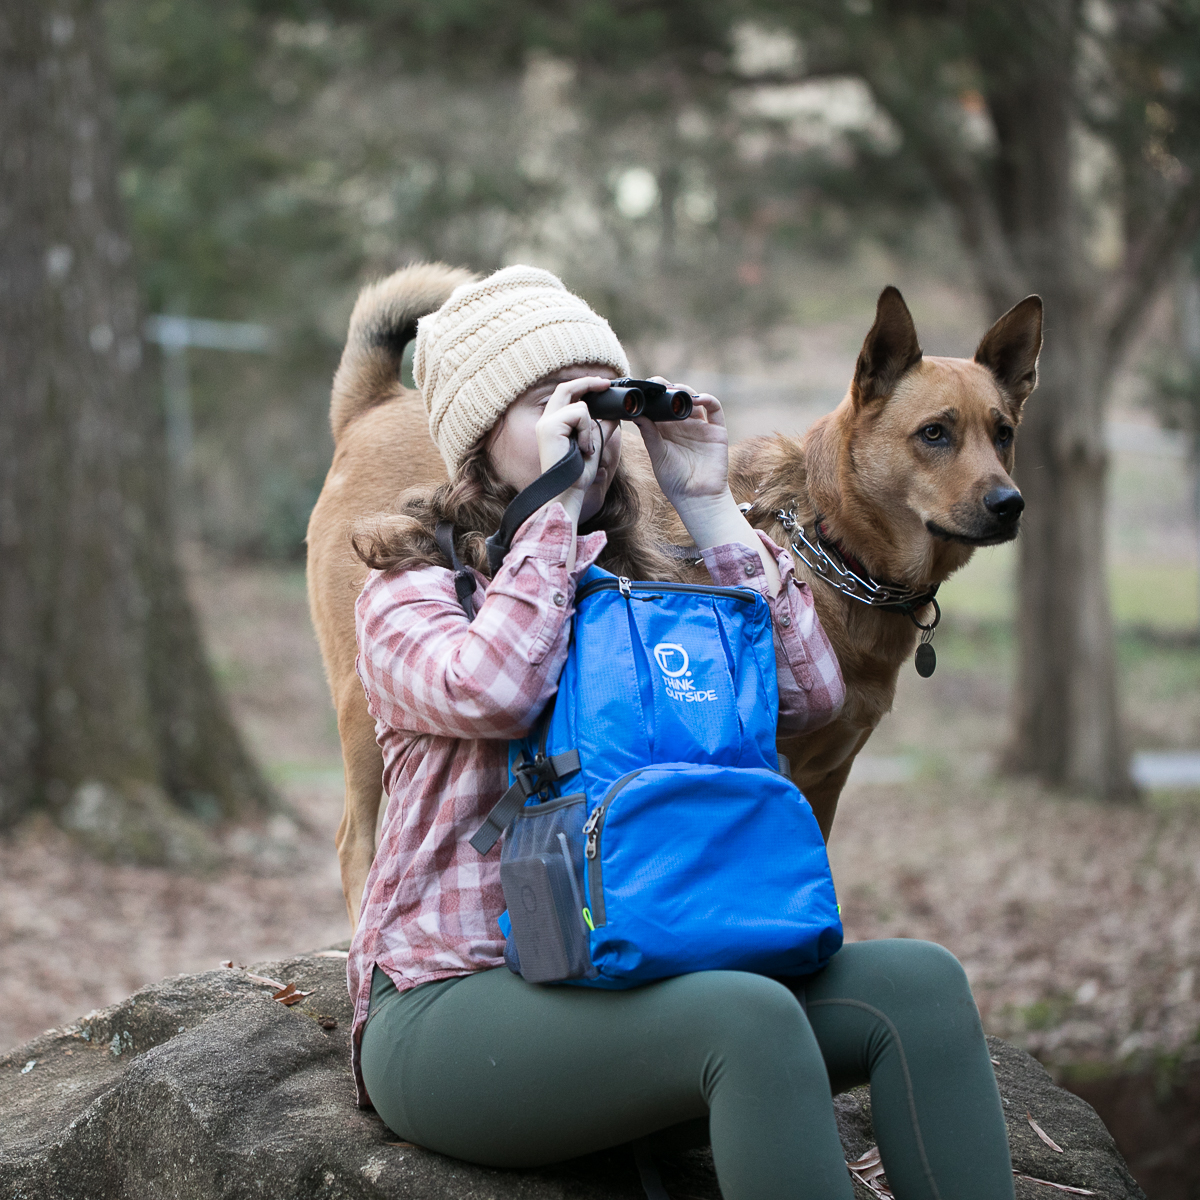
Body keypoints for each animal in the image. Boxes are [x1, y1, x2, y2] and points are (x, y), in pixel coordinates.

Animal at [309, 270, 1041, 926]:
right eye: (934, 433)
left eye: (1003, 433)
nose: (1011, 505)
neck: (829, 542)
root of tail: (374, 406)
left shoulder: (825, 780)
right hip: (362, 715)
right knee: (352, 841)